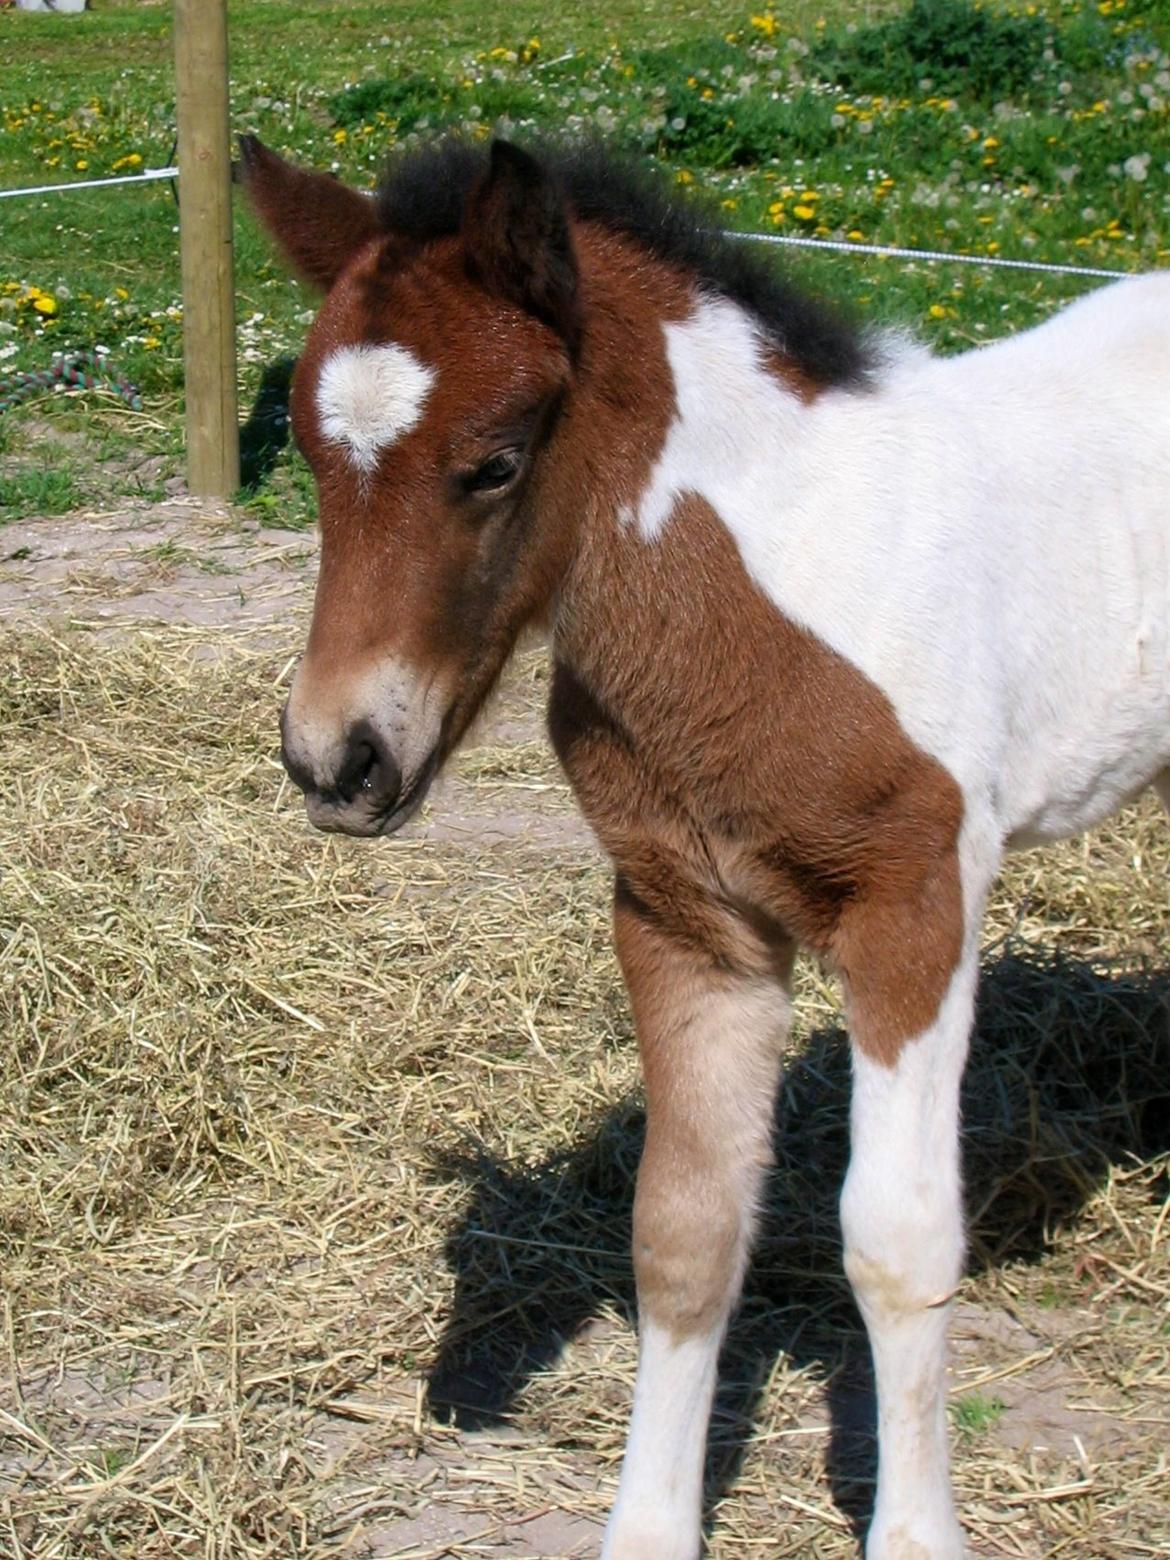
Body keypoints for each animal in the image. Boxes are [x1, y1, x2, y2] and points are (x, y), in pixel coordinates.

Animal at [240, 137, 1170, 1560]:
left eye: (495, 463)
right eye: (304, 451)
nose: (337, 763)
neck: (773, 593)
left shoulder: (913, 907)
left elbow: (897, 1242)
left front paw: (915, 1535)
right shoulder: (688, 918)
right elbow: (682, 1233)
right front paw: (649, 1526)